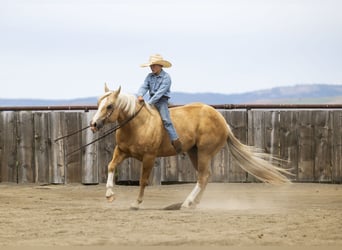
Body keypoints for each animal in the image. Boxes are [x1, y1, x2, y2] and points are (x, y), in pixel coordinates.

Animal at [91, 85, 292, 210]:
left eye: (109, 105)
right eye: (98, 104)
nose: (93, 124)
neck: (138, 124)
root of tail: (222, 121)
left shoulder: (149, 157)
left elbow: (143, 181)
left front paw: (136, 203)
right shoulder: (122, 151)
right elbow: (110, 166)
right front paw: (109, 194)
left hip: (204, 152)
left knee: (202, 177)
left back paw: (187, 203)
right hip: (193, 152)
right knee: (206, 177)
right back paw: (193, 203)